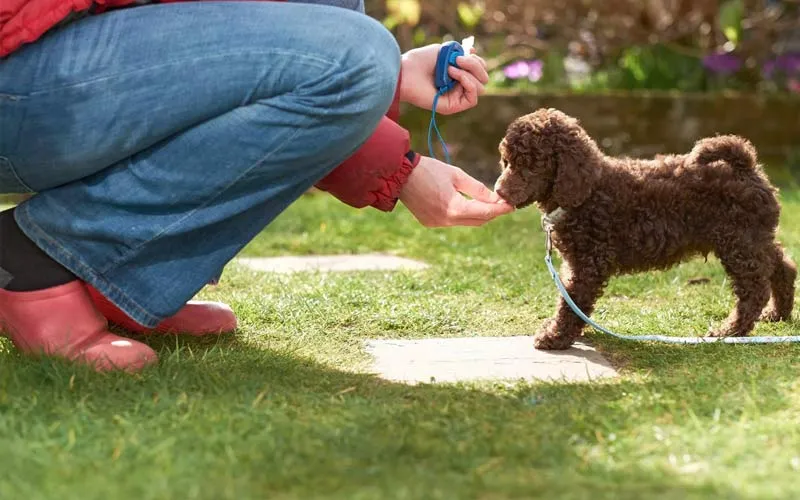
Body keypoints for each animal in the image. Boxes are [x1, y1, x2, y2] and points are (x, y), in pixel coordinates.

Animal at [494, 108, 792, 352]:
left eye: (532, 164)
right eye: (506, 161)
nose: (498, 191)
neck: (588, 192)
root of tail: (746, 166)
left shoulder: (589, 263)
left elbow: (572, 302)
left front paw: (555, 337)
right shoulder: (577, 262)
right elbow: (571, 300)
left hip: (739, 242)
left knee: (754, 290)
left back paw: (730, 331)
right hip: (753, 238)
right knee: (783, 267)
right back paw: (778, 313)